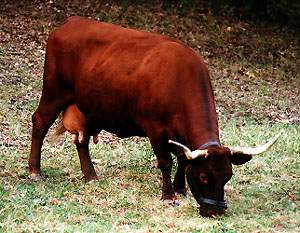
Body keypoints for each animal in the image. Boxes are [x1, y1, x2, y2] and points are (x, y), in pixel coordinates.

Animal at [28, 15, 282, 217]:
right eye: (203, 177)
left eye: (228, 176)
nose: (215, 211)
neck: (180, 81)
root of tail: (70, 22)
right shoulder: (155, 128)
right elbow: (166, 161)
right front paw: (168, 195)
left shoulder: (179, 135)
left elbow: (183, 158)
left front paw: (180, 188)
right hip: (53, 92)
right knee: (40, 121)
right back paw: (34, 171)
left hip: (88, 106)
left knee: (81, 139)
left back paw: (91, 176)